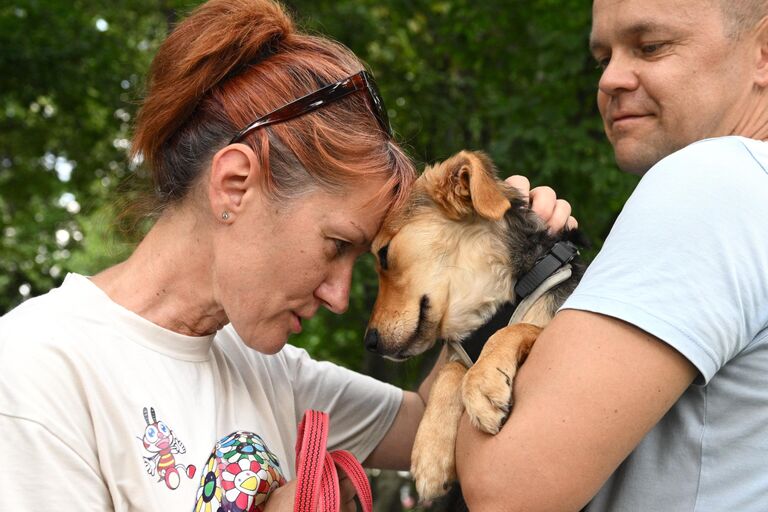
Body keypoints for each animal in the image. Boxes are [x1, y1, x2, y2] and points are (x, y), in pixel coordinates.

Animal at [364, 151, 584, 500]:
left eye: (384, 255)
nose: (369, 342)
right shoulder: (459, 354)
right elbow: (449, 370)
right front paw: (430, 454)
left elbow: (513, 330)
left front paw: (482, 381)